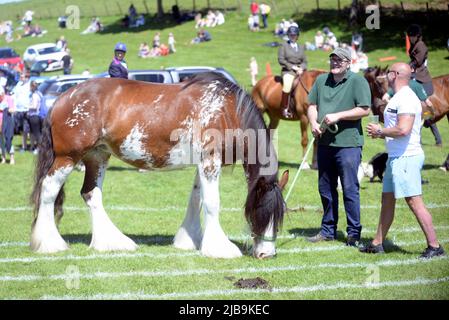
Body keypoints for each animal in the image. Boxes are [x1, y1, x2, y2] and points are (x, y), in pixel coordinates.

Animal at [30, 74, 288, 258]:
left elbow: (196, 199)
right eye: (260, 213)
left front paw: (189, 240)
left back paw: (111, 241)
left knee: (91, 194)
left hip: (98, 156)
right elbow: (212, 203)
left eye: (279, 218)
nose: (266, 254)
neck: (227, 110)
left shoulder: (202, 163)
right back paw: (49, 243)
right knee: (48, 190)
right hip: (67, 158)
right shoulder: (209, 160)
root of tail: (62, 98)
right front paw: (219, 248)